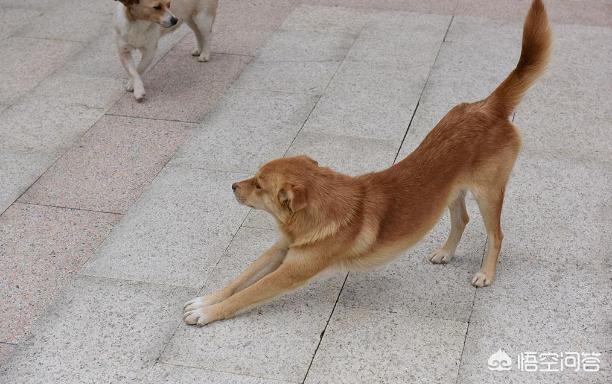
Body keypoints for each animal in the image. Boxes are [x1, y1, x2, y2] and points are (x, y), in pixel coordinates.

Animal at [184, 0, 552, 328]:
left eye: (259, 185)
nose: (233, 185)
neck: (318, 208)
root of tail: (489, 106)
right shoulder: (282, 247)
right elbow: (240, 277)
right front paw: (205, 299)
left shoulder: (293, 270)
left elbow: (248, 293)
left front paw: (208, 313)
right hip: (452, 190)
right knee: (461, 219)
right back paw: (446, 253)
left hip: (488, 193)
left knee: (496, 234)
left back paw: (486, 273)